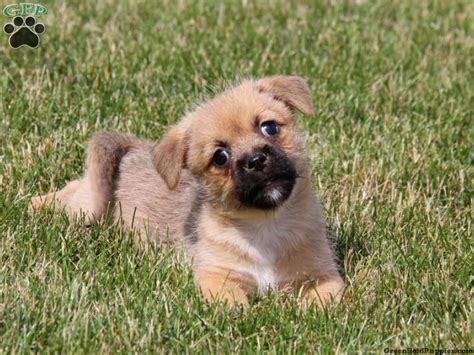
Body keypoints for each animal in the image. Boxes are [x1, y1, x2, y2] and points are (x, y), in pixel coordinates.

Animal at [31, 76, 346, 308]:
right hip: (87, 206)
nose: (255, 161)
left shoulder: (323, 275)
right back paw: (36, 204)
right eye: (220, 157)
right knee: (72, 192)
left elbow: (323, 300)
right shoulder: (215, 274)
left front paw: (309, 311)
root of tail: (134, 147)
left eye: (269, 127)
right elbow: (232, 302)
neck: (265, 226)